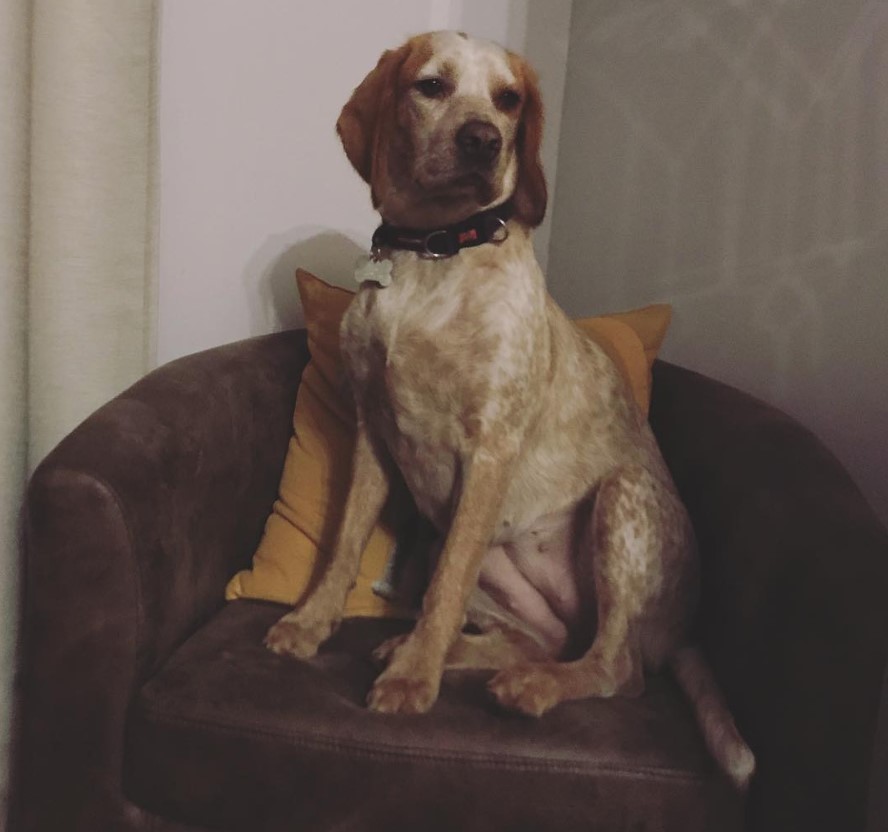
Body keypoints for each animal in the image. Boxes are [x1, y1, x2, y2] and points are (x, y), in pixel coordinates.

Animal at [266, 30, 756, 788]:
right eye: (431, 85)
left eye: (509, 99)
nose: (482, 140)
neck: (433, 256)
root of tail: (684, 630)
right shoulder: (373, 433)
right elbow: (343, 544)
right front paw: (313, 623)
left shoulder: (488, 448)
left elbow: (441, 590)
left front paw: (414, 681)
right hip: (480, 554)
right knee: (539, 639)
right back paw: (446, 654)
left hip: (618, 500)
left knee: (617, 667)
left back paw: (522, 684)